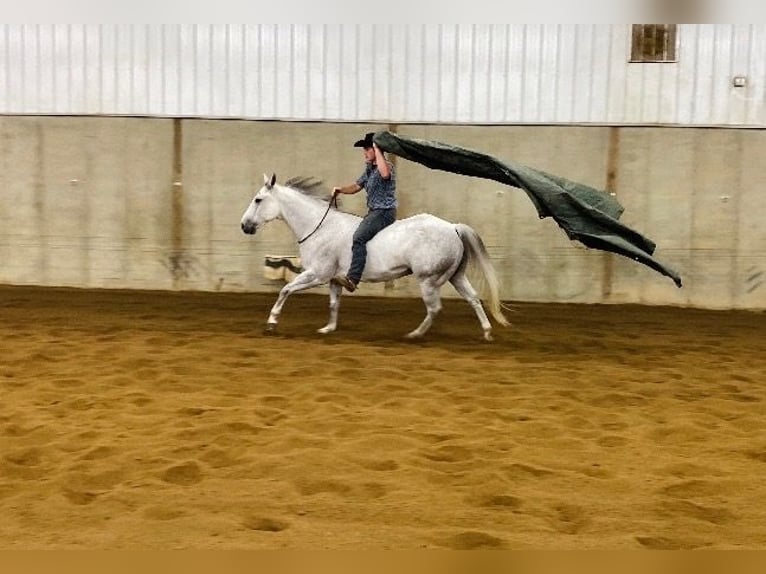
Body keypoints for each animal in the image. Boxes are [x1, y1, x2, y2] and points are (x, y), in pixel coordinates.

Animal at [240, 174, 510, 341]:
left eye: (258, 199)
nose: (244, 225)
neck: (320, 227)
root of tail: (453, 227)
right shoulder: (334, 280)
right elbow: (333, 304)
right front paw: (328, 328)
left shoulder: (317, 274)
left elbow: (285, 290)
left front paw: (271, 323)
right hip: (455, 276)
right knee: (474, 299)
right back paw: (487, 332)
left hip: (429, 280)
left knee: (435, 308)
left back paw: (414, 335)